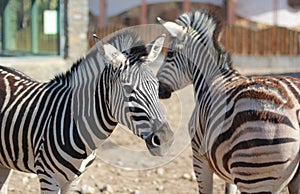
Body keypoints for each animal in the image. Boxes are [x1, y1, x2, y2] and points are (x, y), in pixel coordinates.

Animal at [156, 10, 298, 194]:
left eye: (170, 54)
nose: (158, 89)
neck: (212, 80)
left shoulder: (199, 155)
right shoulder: (227, 167)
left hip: (254, 174)